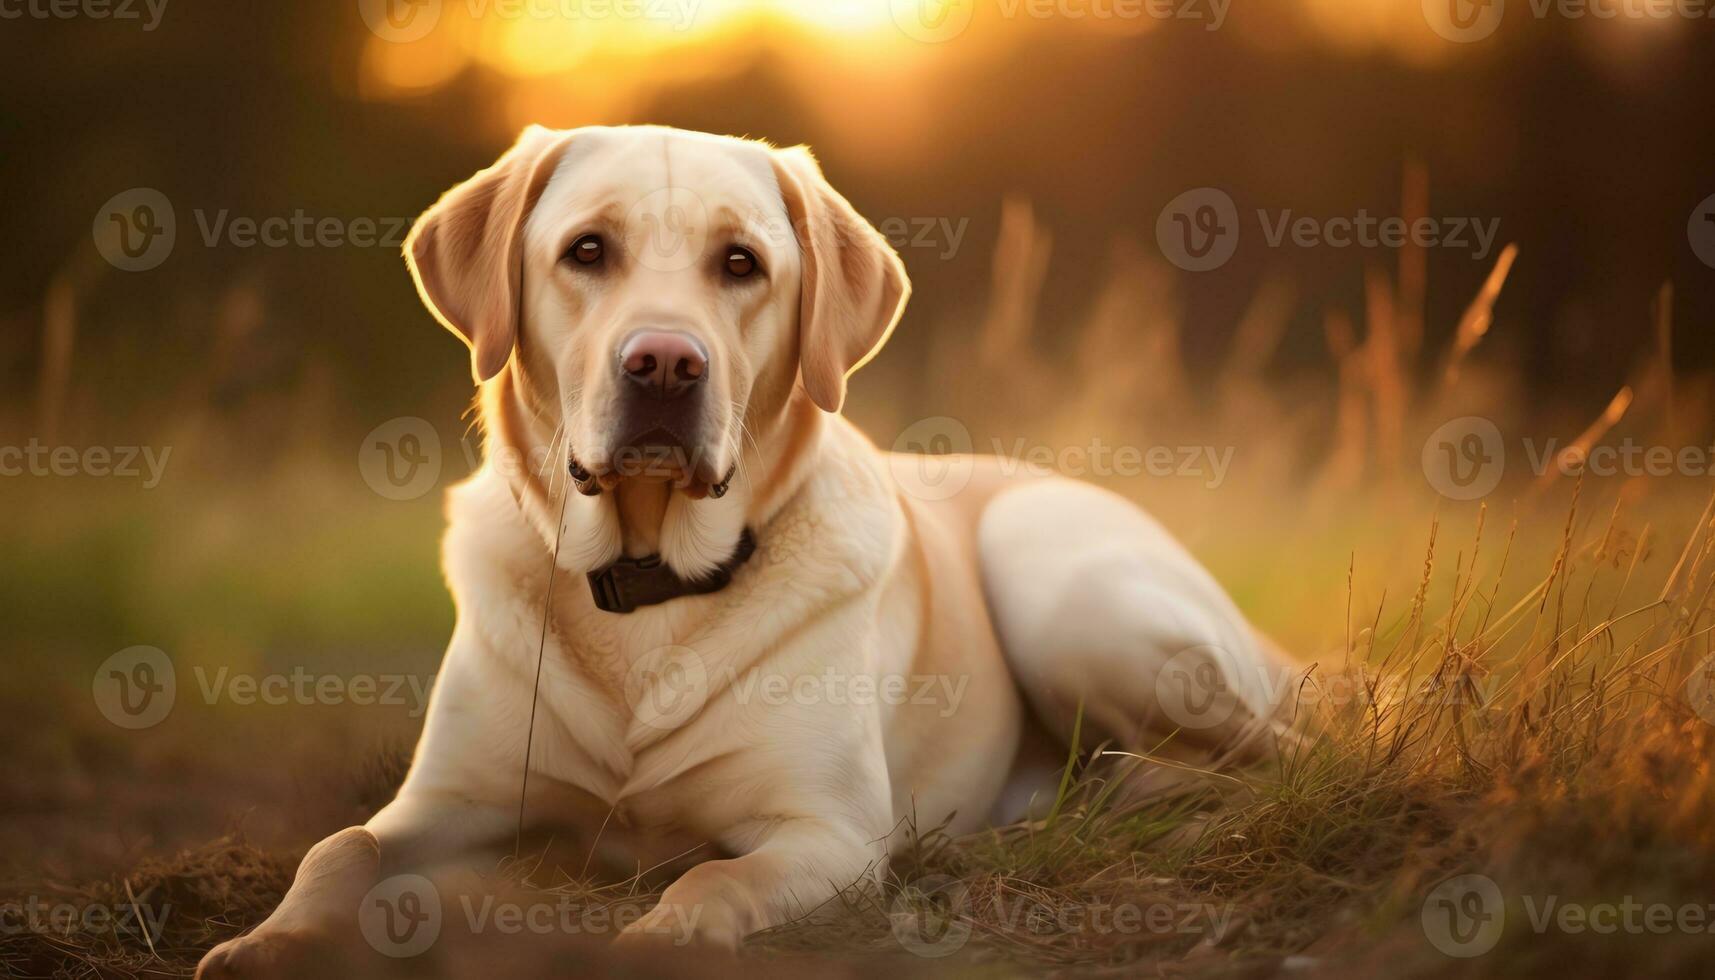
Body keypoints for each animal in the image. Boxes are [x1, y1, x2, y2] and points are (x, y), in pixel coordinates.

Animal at [197, 126, 1289, 974]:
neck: (644, 577)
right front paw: (268, 940)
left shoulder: (826, 833)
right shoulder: (455, 800)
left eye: (739, 264)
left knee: (1279, 754)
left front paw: (657, 939)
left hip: (1062, 589)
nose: (664, 363)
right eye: (586, 250)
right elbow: (340, 843)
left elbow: (717, 877)